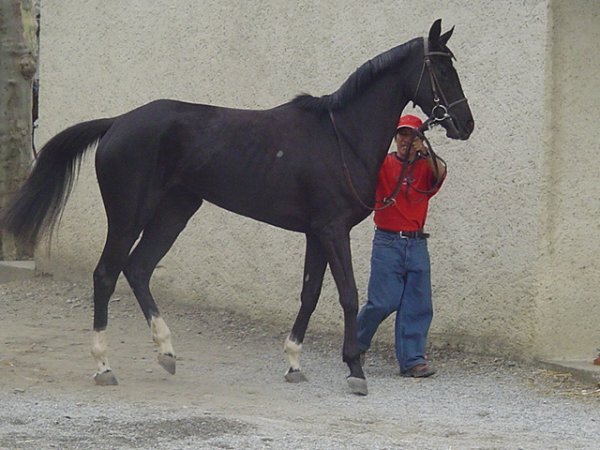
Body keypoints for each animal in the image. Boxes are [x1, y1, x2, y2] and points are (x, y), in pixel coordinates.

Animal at [2, 19, 476, 396]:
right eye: (443, 68)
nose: (465, 124)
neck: (341, 136)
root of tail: (117, 122)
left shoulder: (317, 232)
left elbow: (309, 293)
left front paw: (294, 362)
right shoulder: (332, 230)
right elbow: (347, 294)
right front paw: (355, 370)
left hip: (175, 211)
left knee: (138, 268)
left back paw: (166, 352)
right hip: (128, 214)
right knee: (106, 274)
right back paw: (104, 365)